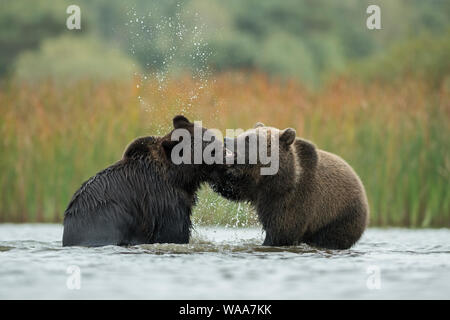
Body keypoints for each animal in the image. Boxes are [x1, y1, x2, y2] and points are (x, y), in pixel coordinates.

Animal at [62, 115, 225, 248]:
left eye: (212, 137)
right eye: (210, 148)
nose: (225, 150)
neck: (180, 177)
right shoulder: (164, 203)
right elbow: (174, 233)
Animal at [211, 122, 370, 250]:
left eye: (248, 139)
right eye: (244, 134)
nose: (226, 139)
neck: (272, 180)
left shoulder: (294, 198)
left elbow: (283, 230)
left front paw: (268, 242)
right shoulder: (254, 187)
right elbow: (233, 188)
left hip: (339, 217)